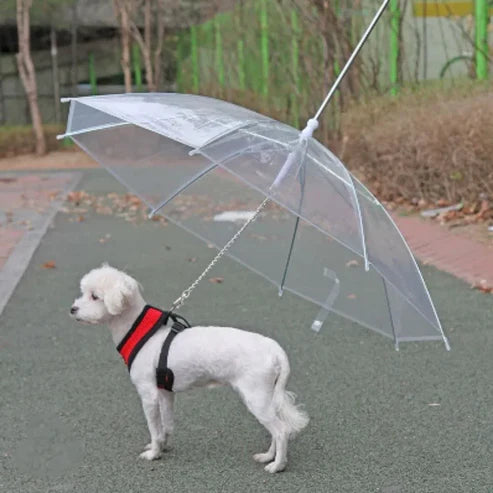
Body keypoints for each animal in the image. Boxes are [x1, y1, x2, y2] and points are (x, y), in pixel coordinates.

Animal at [70, 266, 308, 472]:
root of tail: (274, 348)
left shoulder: (149, 395)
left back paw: (277, 465)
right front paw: (163, 446)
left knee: (281, 431)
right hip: (265, 397)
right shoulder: (165, 393)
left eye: (94, 296)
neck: (142, 333)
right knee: (276, 430)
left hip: (256, 398)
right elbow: (166, 426)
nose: (72, 309)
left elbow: (154, 428)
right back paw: (268, 456)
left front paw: (154, 453)